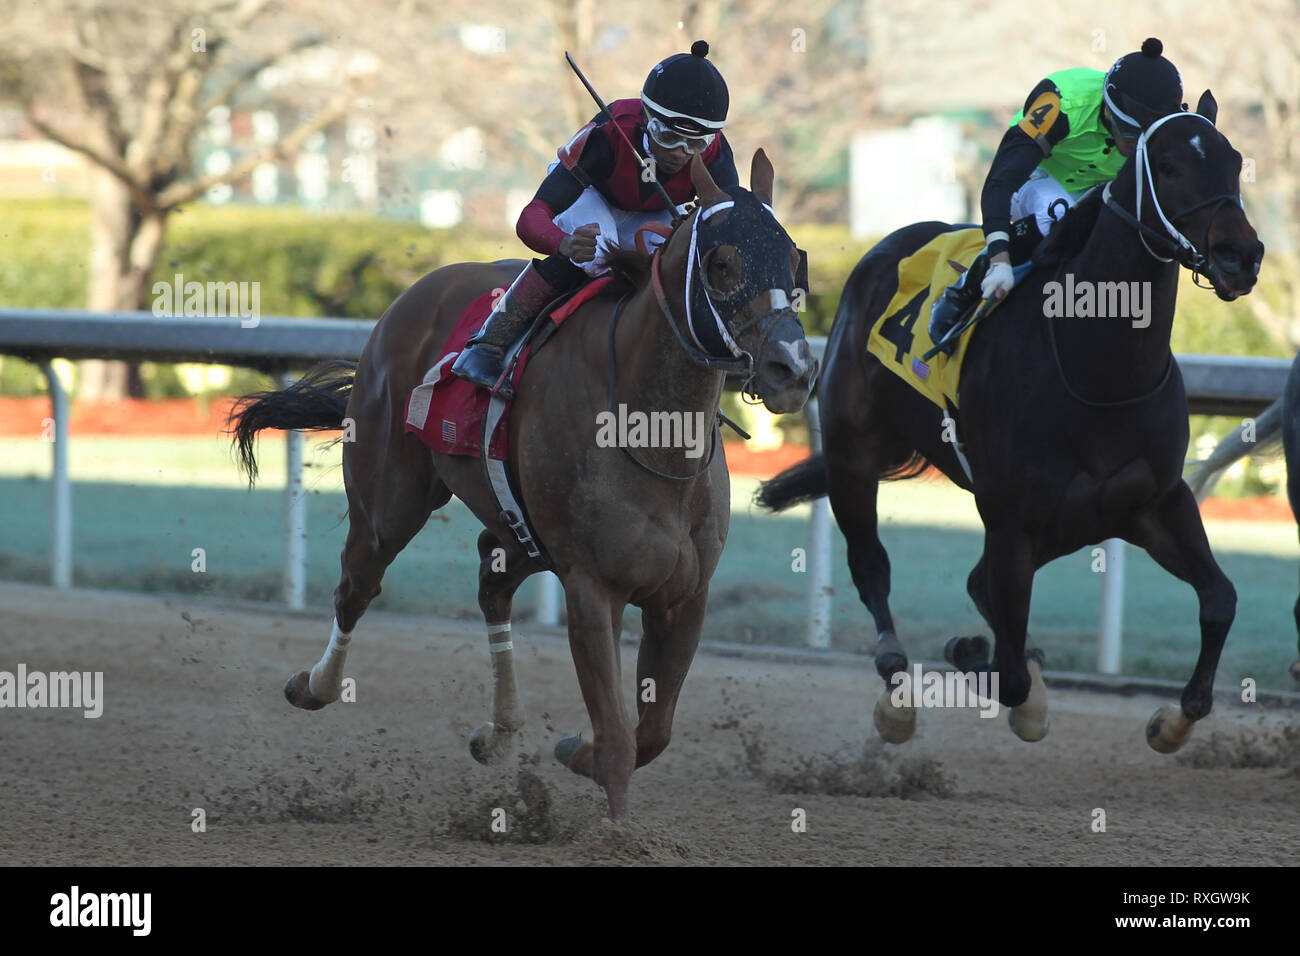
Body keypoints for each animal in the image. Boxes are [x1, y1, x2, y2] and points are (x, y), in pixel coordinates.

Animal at [233, 153, 816, 816]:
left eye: (793, 258)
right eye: (721, 263)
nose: (794, 368)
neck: (651, 431)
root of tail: (409, 298)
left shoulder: (684, 594)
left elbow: (652, 732)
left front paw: (572, 750)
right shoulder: (591, 586)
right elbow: (619, 741)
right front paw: (613, 824)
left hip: (523, 528)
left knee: (492, 580)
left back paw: (499, 733)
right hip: (389, 501)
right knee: (357, 585)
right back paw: (314, 684)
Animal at [759, 95, 1258, 754]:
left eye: (1234, 161)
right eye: (1170, 167)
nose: (1241, 256)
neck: (1097, 368)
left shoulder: (1154, 501)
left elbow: (1220, 600)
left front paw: (1172, 722)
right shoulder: (1013, 517)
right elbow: (1013, 674)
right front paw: (981, 660)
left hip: (1069, 522)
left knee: (978, 582)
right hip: (853, 455)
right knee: (873, 568)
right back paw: (897, 690)